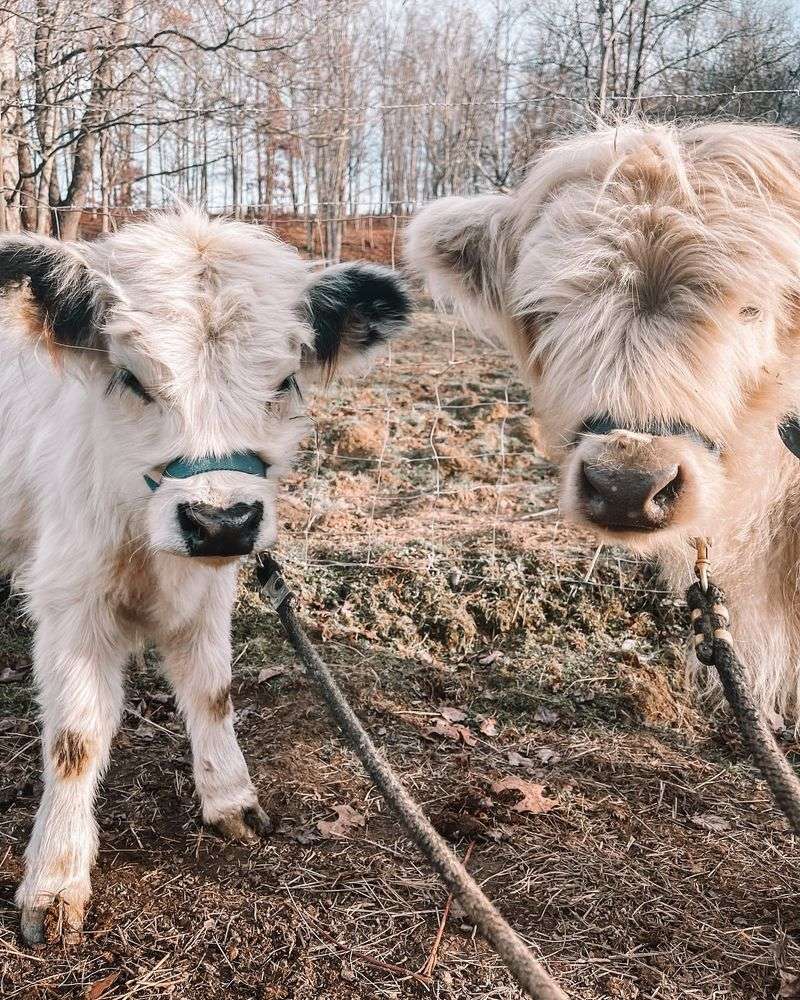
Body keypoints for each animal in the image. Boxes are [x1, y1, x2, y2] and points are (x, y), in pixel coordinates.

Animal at [0, 207, 410, 940]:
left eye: (284, 382)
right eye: (133, 379)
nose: (221, 521)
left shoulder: (211, 592)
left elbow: (213, 692)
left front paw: (230, 799)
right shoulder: (69, 599)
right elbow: (75, 738)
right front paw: (55, 879)